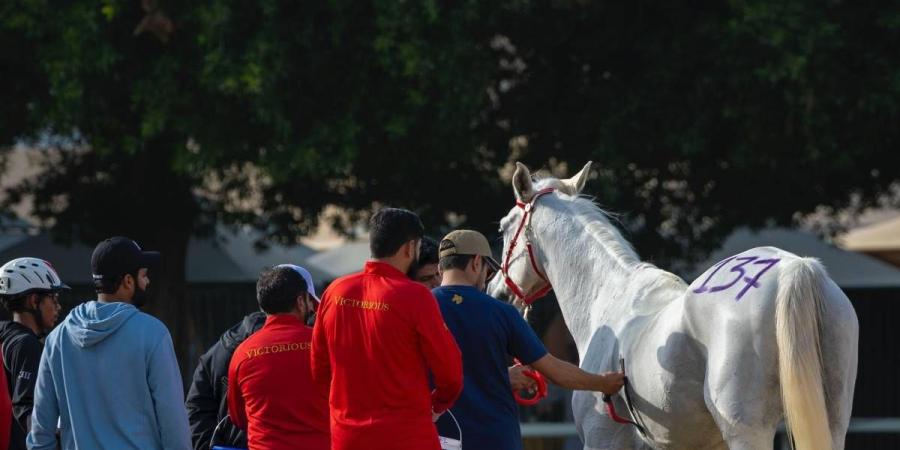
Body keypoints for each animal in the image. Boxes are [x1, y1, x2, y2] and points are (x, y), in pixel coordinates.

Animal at [492, 162, 856, 450]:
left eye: (504, 226)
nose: (497, 293)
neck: (609, 298)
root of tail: (794, 269)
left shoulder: (603, 440)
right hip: (832, 421)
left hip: (748, 432)